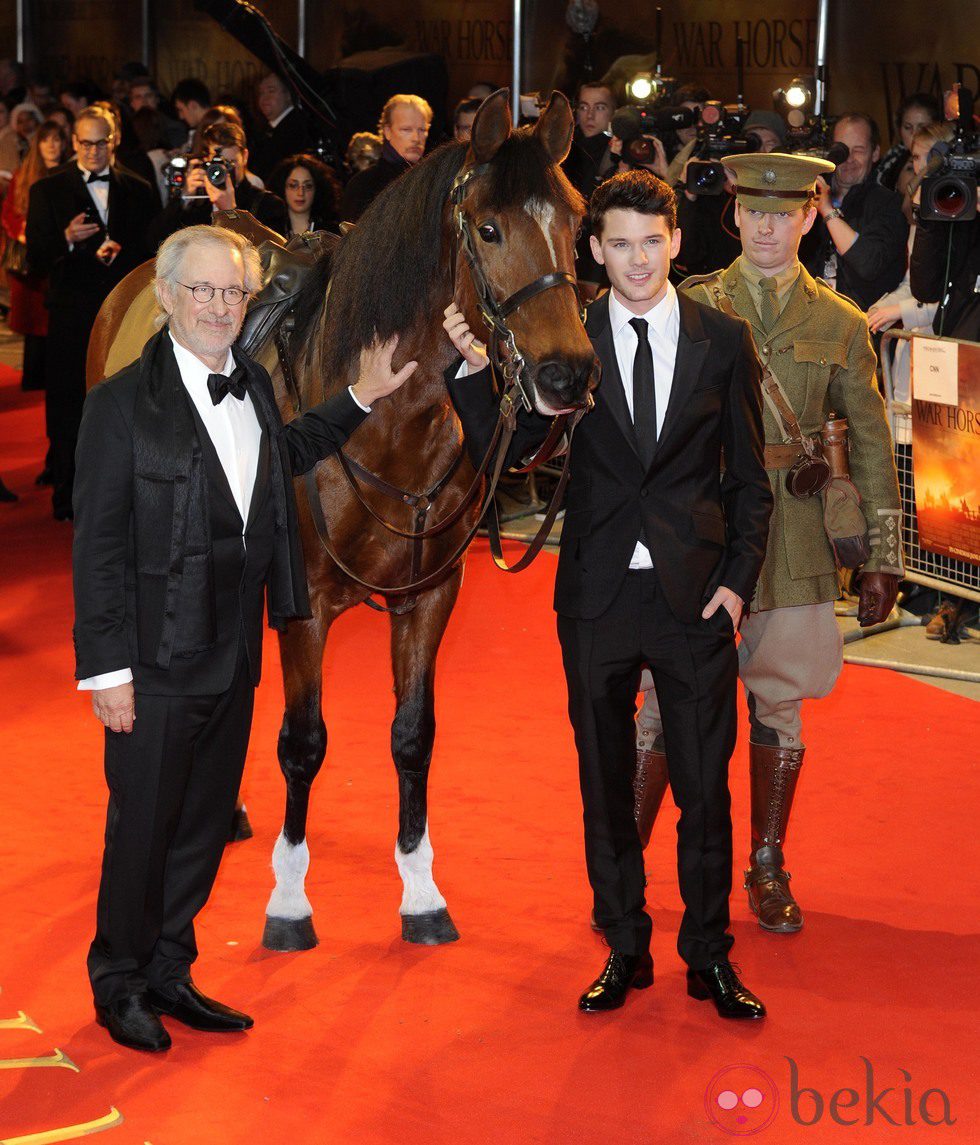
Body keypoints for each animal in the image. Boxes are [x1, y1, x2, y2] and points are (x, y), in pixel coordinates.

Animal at [88, 91, 595, 948]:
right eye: (490, 229)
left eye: (578, 216)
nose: (570, 375)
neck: (390, 424)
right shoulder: (308, 606)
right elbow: (304, 744)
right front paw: (290, 899)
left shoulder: (430, 597)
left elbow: (413, 736)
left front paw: (419, 888)